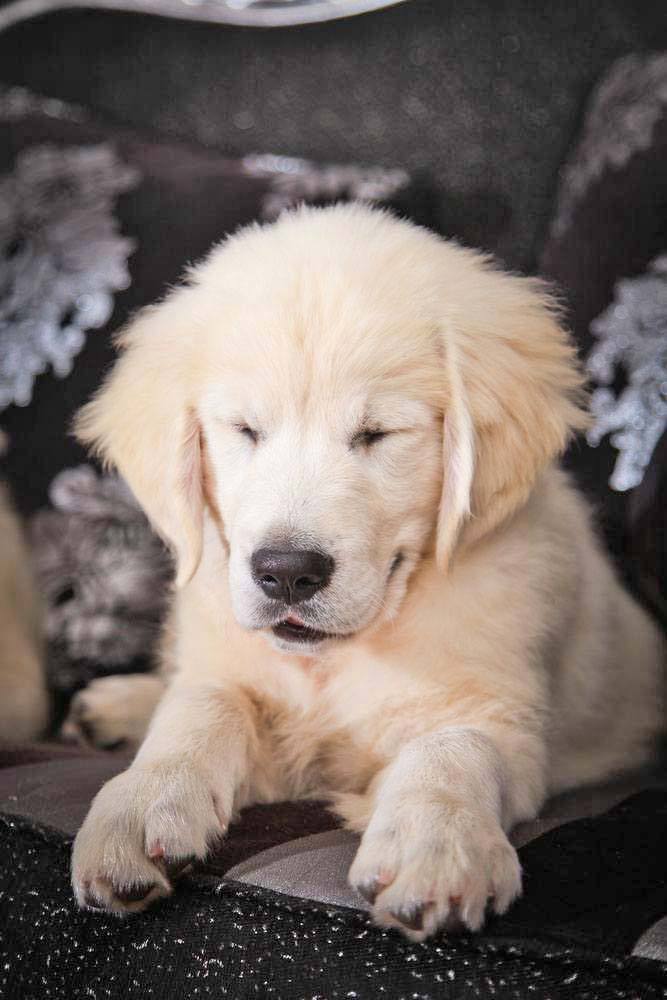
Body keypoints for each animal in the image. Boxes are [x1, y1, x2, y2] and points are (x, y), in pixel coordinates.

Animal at [70, 207, 664, 940]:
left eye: (377, 434)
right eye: (245, 430)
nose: (286, 573)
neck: (337, 658)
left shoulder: (507, 722)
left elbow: (454, 748)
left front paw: (434, 845)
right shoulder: (233, 669)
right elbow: (201, 705)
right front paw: (139, 802)